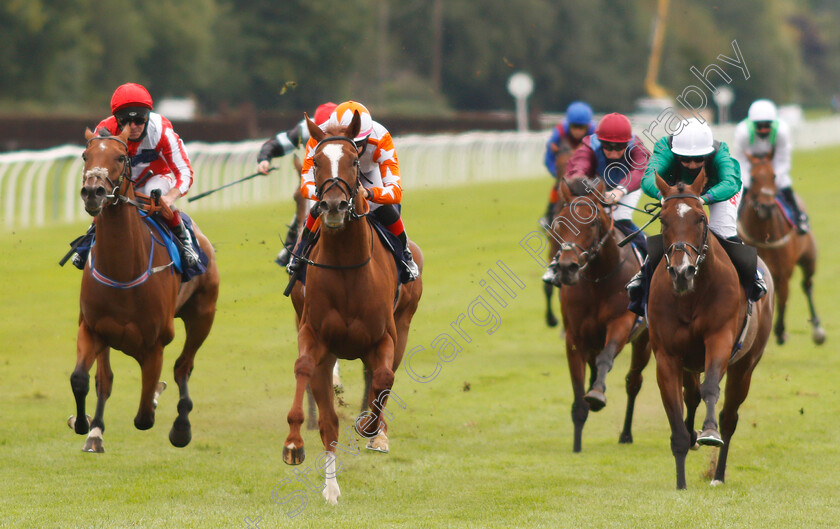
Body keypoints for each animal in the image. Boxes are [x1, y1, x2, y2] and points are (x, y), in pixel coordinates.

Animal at [69, 127, 220, 450]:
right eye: (86, 155)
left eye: (120, 156)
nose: (93, 192)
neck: (123, 270)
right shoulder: (92, 328)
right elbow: (82, 379)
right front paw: (84, 423)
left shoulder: (154, 345)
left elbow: (144, 416)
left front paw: (157, 402)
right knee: (105, 379)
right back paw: (95, 430)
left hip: (203, 316)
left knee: (183, 366)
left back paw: (181, 427)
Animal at [282, 111, 424, 504]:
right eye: (317, 161)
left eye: (353, 161)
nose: (332, 206)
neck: (346, 268)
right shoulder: (314, 335)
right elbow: (305, 374)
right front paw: (296, 445)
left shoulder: (384, 337)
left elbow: (384, 378)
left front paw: (372, 428)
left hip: (404, 323)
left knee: (382, 377)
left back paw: (376, 429)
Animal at [548, 176, 652, 450]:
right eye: (559, 222)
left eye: (592, 222)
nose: (567, 267)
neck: (597, 280)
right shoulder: (574, 337)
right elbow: (578, 396)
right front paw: (576, 447)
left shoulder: (622, 323)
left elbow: (607, 357)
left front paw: (596, 394)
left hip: (645, 341)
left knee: (633, 382)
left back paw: (626, 434)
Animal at [648, 172, 776, 486]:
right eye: (663, 219)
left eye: (700, 218)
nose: (682, 272)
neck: (690, 296)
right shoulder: (668, 356)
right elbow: (675, 409)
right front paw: (681, 481)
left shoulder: (719, 338)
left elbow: (711, 388)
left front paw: (708, 432)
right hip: (690, 362)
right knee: (691, 395)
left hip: (746, 364)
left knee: (729, 415)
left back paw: (717, 474)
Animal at [740, 153, 824, 344]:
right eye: (753, 178)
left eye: (774, 176)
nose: (765, 207)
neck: (762, 235)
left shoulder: (783, 273)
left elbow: (783, 298)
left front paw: (780, 331)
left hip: (809, 259)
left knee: (807, 285)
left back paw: (817, 328)